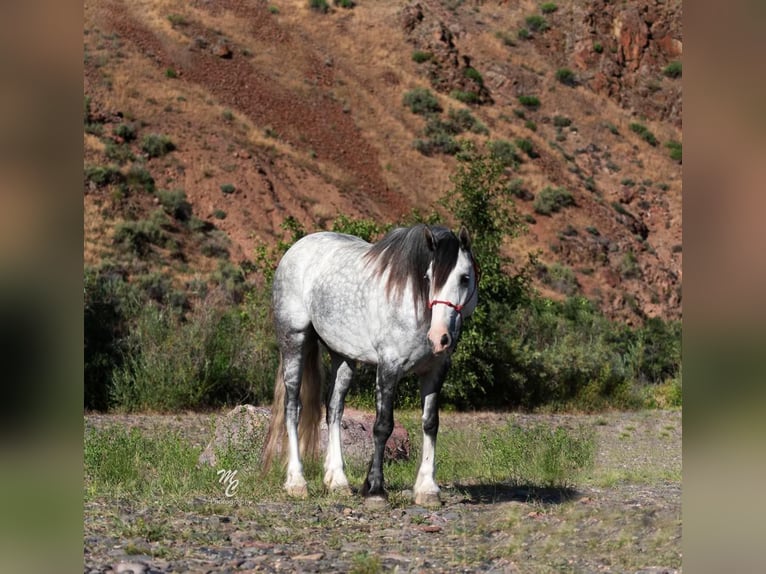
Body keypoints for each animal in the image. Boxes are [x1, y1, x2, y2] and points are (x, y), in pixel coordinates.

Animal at [264, 225, 480, 508]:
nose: (440, 338)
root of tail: (296, 248)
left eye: (464, 278)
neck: (413, 304)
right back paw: (296, 482)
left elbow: (431, 423)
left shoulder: (435, 372)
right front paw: (376, 489)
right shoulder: (389, 368)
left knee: (334, 411)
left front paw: (427, 488)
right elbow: (383, 426)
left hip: (342, 356)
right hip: (294, 342)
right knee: (292, 408)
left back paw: (338, 481)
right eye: (428, 276)